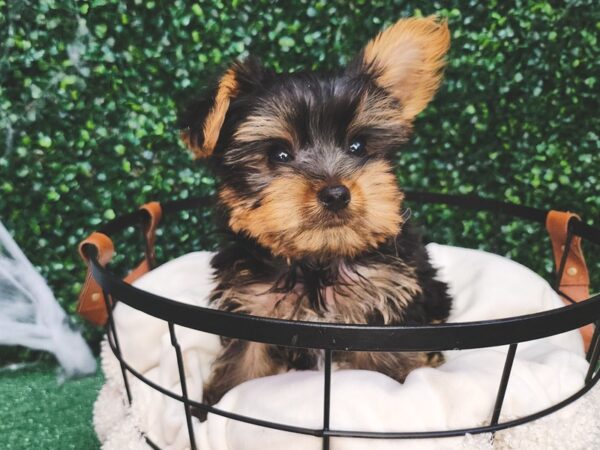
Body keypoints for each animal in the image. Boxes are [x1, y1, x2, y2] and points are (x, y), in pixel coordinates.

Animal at [180, 16, 452, 412]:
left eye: (358, 146)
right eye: (279, 154)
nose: (336, 193)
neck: (316, 262)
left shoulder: (382, 308)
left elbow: (385, 372)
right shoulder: (250, 308)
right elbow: (241, 368)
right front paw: (213, 410)